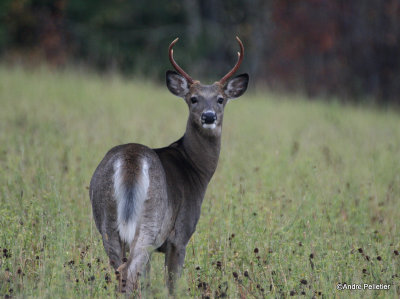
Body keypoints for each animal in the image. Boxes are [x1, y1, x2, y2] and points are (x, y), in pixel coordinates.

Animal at [89, 36, 248, 294]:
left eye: (220, 99)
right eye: (193, 99)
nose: (209, 116)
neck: (195, 169)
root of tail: (131, 160)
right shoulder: (179, 235)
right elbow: (172, 285)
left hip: (106, 221)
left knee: (120, 271)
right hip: (151, 220)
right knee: (129, 272)